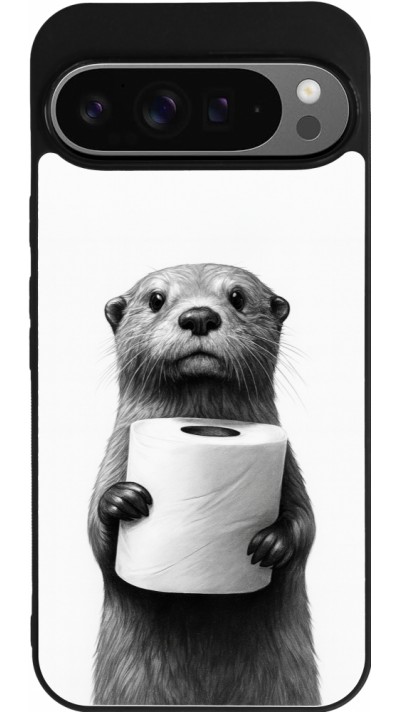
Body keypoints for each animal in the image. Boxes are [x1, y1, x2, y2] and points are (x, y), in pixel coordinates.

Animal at [88, 263, 319, 705]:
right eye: (156, 299)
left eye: (238, 297)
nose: (199, 316)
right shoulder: (114, 458)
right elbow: (96, 538)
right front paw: (121, 501)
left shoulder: (290, 468)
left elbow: (307, 525)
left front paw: (273, 542)